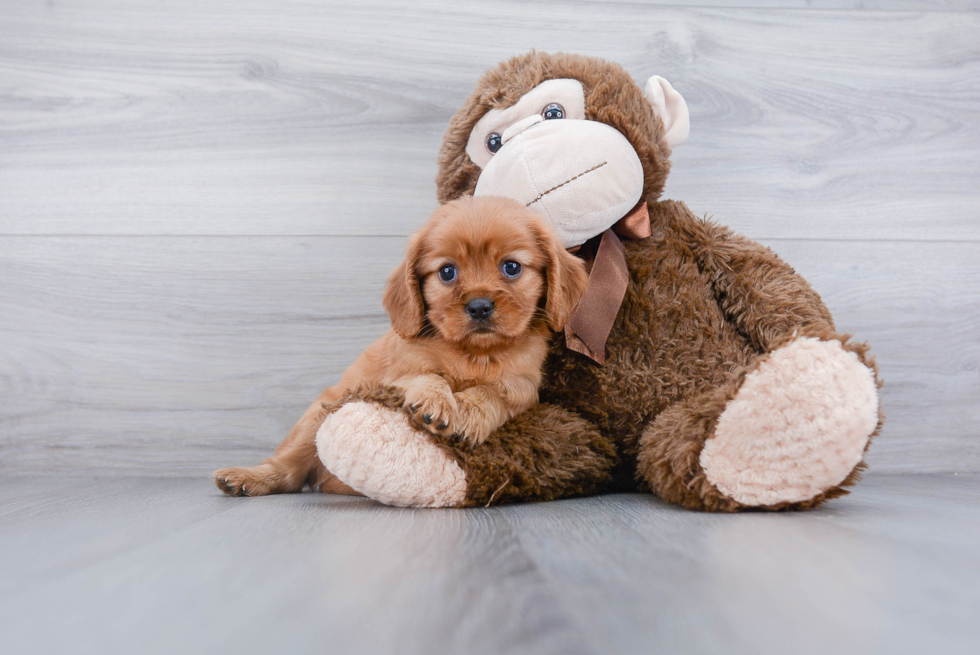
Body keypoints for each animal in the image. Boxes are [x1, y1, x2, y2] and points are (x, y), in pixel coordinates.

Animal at [214, 196, 584, 498]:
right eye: (447, 272)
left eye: (511, 267)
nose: (479, 306)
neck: (473, 353)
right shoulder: (399, 372)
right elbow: (429, 375)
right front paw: (436, 402)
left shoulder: (523, 387)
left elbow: (492, 393)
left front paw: (470, 412)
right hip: (316, 419)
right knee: (289, 470)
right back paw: (247, 478)